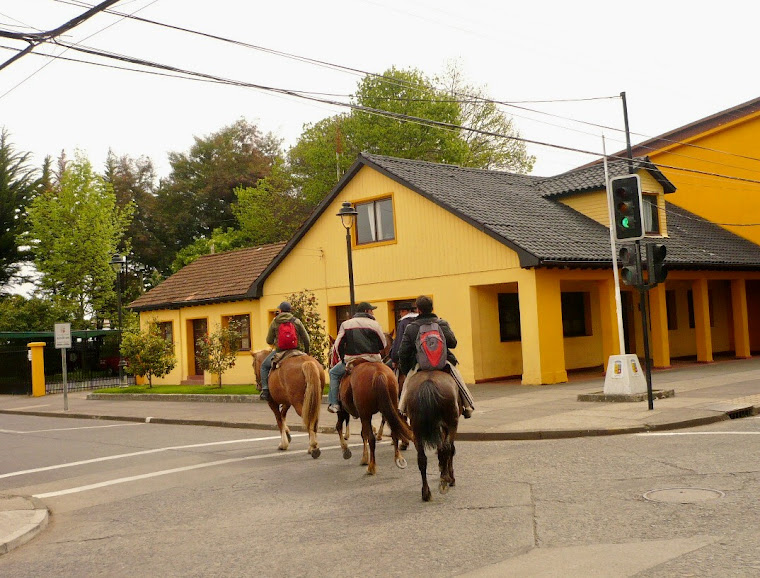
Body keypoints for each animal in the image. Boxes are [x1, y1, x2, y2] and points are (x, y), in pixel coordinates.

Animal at [404, 368, 458, 500]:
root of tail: (428, 382)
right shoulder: (447, 426)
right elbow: (449, 449)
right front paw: (449, 476)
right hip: (452, 423)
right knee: (447, 448)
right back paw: (445, 480)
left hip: (416, 430)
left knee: (422, 458)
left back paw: (426, 492)